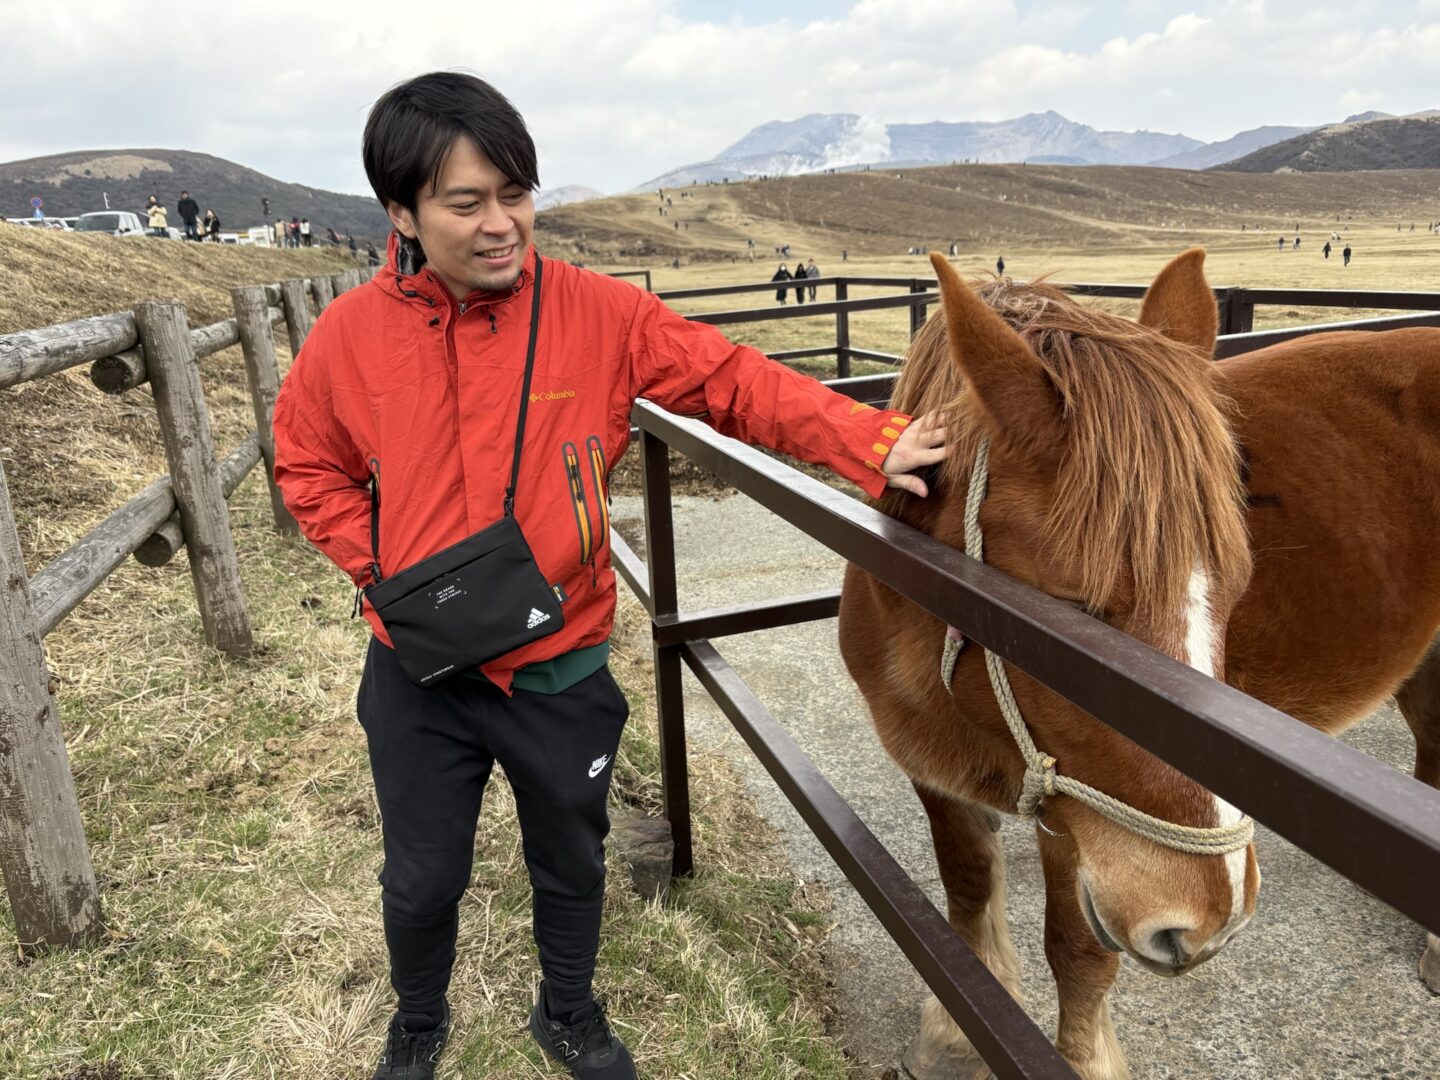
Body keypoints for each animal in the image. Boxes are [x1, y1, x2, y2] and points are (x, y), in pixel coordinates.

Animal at [838, 249, 1440, 1080]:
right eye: (1070, 607)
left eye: (1238, 583)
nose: (1210, 918)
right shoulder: (936, 775)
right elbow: (965, 889)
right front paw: (955, 1028)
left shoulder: (1072, 816)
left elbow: (1077, 955)